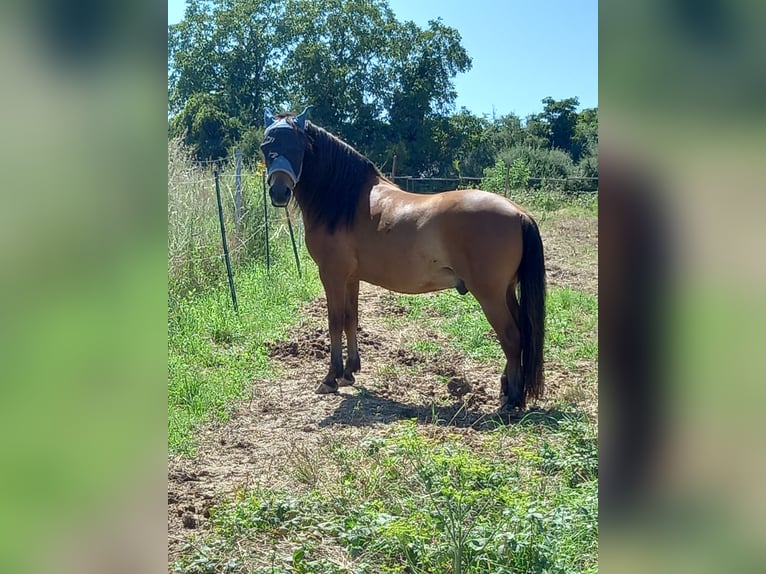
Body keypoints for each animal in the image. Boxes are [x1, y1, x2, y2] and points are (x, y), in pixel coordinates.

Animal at [262, 108, 544, 412]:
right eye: (266, 148)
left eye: (296, 147)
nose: (279, 192)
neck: (345, 201)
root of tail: (518, 213)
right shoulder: (351, 278)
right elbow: (351, 319)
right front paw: (349, 372)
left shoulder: (332, 275)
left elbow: (334, 321)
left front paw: (331, 378)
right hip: (505, 293)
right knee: (520, 334)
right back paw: (508, 392)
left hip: (490, 295)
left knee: (512, 337)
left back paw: (512, 400)